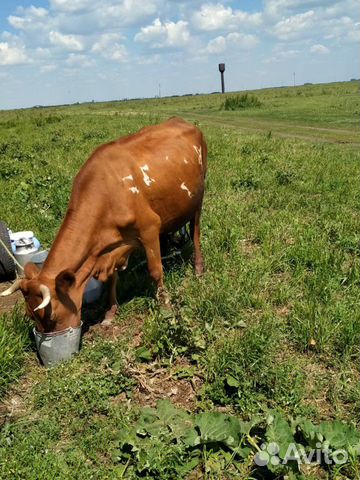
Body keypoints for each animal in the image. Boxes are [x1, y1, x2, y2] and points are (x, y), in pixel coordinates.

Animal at [0, 118, 207, 332]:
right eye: (30, 316)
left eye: (52, 316)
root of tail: (181, 120)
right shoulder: (111, 247)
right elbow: (111, 280)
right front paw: (110, 313)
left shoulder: (149, 228)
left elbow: (155, 270)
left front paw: (165, 305)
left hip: (198, 198)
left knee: (195, 233)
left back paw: (199, 269)